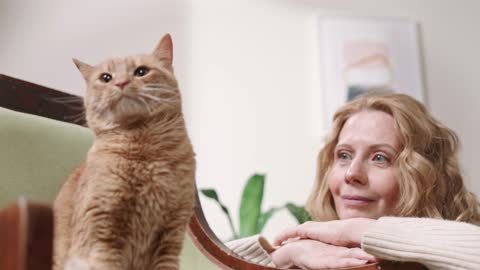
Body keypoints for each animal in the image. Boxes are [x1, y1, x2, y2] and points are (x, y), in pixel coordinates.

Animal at [52, 34, 195, 270]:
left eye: (141, 71)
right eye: (106, 77)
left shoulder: (171, 237)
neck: (145, 156)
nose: (121, 82)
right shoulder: (103, 235)